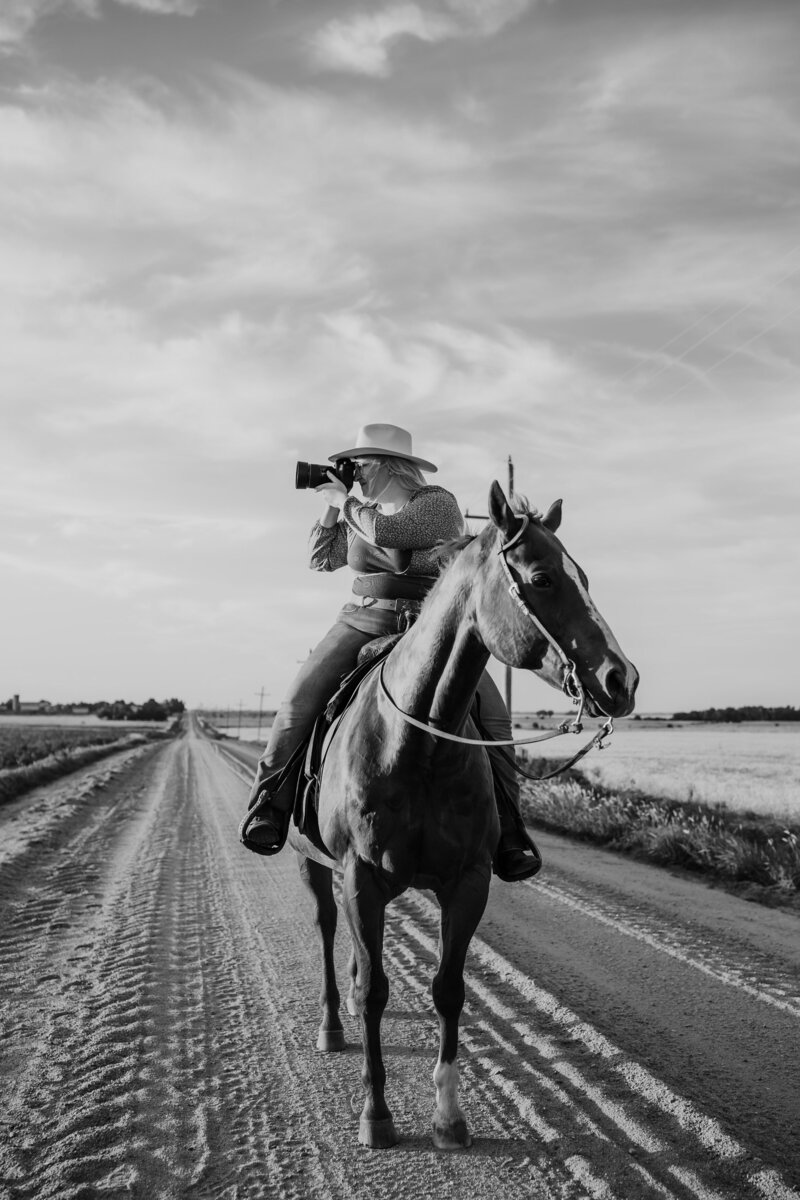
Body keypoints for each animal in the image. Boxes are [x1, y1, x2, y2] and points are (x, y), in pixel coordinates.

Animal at [286, 480, 638, 1152]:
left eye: (584, 577)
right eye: (542, 578)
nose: (622, 679)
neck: (419, 742)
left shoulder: (467, 882)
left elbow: (449, 991)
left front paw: (449, 1117)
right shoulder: (360, 876)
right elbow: (375, 990)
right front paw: (376, 1115)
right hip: (313, 864)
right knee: (326, 930)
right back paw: (331, 1024)